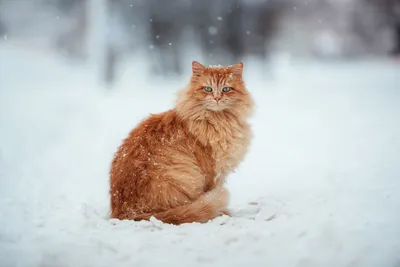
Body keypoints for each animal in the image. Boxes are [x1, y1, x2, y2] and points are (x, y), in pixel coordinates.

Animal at [108, 61, 253, 226]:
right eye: (208, 89)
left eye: (226, 89)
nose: (217, 98)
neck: (218, 120)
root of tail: (125, 213)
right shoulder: (212, 172)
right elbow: (211, 191)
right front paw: (223, 214)